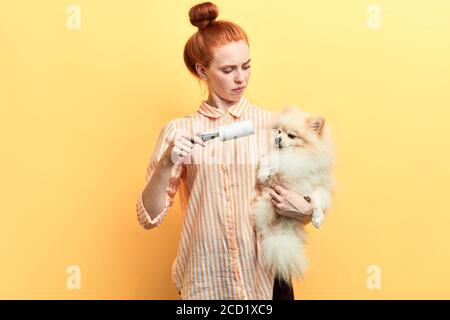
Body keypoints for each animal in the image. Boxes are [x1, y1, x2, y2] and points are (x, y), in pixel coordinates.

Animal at [253, 106, 334, 284]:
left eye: (291, 135)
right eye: (279, 131)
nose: (277, 139)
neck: (296, 154)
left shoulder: (318, 184)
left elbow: (317, 200)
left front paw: (317, 217)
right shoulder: (274, 161)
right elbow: (268, 161)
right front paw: (263, 174)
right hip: (266, 204)